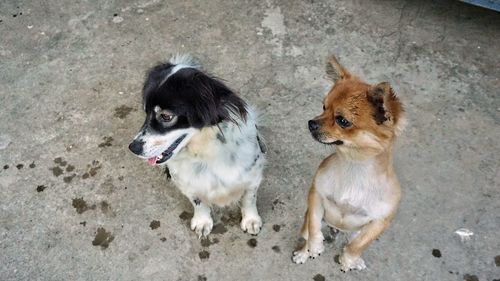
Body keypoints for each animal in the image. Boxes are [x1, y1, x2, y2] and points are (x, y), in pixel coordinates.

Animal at [131, 54, 268, 236]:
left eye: (166, 116)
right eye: (145, 112)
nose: (133, 148)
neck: (206, 153)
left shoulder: (253, 175)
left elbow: (249, 198)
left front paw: (251, 220)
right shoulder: (187, 182)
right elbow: (198, 202)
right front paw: (202, 222)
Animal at [292, 53, 406, 270]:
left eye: (342, 121)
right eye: (323, 107)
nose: (311, 123)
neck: (354, 167)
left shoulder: (381, 221)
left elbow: (358, 245)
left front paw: (349, 260)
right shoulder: (316, 195)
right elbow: (314, 228)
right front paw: (315, 247)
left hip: (356, 230)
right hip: (308, 221)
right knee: (307, 232)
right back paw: (304, 252)